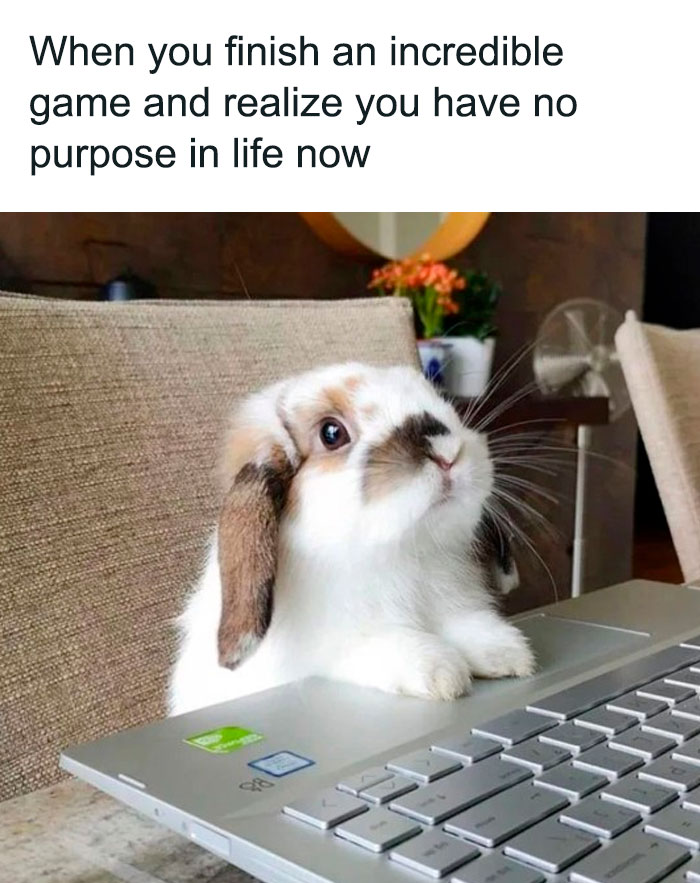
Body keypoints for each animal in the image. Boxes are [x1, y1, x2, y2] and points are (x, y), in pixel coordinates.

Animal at [169, 362, 535, 716]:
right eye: (331, 433)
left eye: (440, 401)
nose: (448, 453)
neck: (407, 552)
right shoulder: (335, 650)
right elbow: (383, 646)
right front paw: (441, 672)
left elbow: (464, 626)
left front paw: (506, 652)